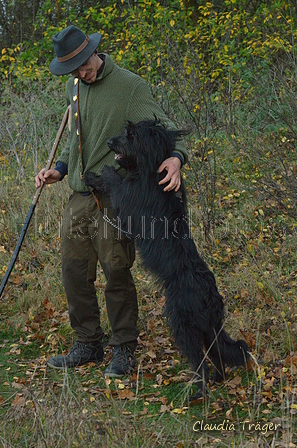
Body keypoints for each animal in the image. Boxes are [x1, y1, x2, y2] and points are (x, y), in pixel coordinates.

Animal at [84, 120, 249, 400]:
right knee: (216, 354)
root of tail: (211, 299)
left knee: (199, 360)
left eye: (131, 135)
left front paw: (98, 174)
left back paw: (197, 392)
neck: (151, 170)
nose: (109, 142)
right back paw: (216, 379)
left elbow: (114, 182)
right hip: (206, 329)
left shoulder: (126, 199)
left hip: (183, 324)